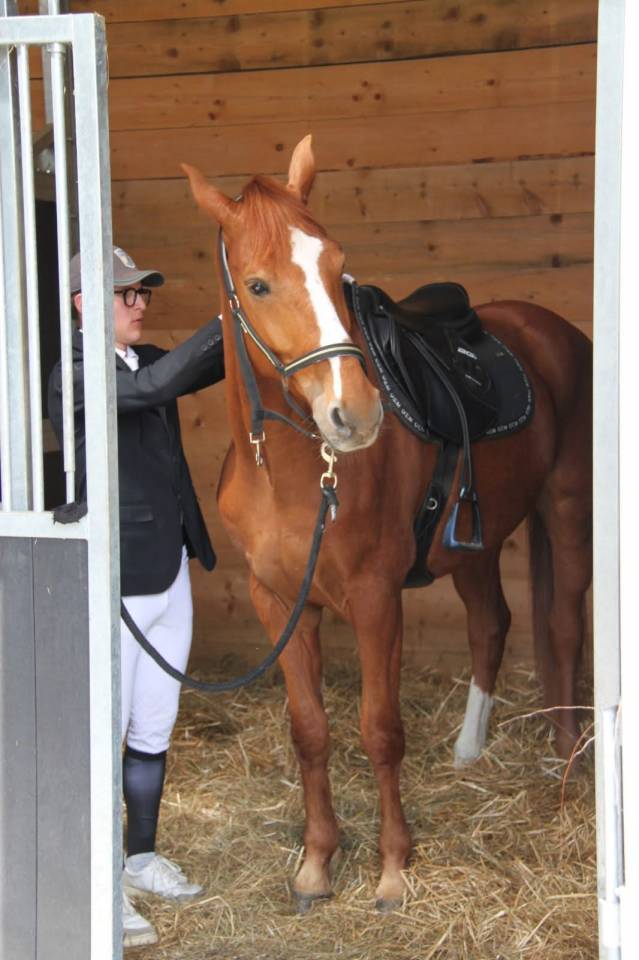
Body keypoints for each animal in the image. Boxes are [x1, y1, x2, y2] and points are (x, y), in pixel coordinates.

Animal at [182, 135, 592, 911]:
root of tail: (547, 326)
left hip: (564, 506)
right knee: (490, 622)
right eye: (257, 285)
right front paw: (317, 862)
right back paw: (468, 750)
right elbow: (309, 730)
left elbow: (379, 730)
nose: (357, 415)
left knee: (561, 623)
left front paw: (393, 868)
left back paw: (565, 766)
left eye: (336, 265)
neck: (295, 472)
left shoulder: (375, 600)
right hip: (474, 541)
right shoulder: (279, 603)